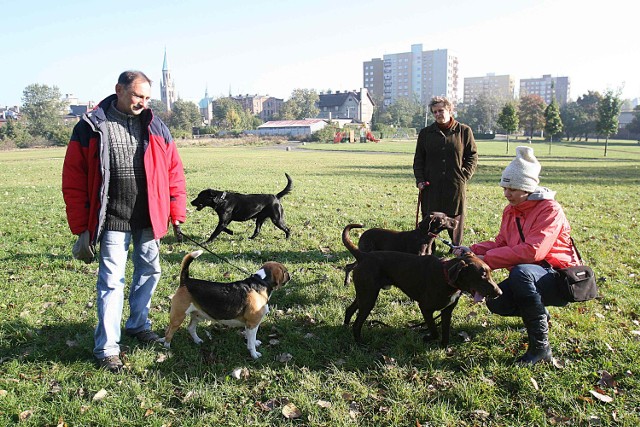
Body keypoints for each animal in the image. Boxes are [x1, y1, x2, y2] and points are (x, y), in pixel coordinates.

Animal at [160, 249, 290, 360]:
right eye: (285, 271)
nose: (290, 276)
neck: (260, 282)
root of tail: (185, 281)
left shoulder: (250, 324)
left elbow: (251, 338)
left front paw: (254, 342)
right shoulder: (253, 323)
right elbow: (251, 343)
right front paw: (254, 354)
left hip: (198, 315)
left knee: (191, 328)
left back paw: (197, 341)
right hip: (178, 316)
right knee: (168, 333)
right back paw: (167, 347)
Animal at [342, 224, 502, 348]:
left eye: (490, 272)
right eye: (482, 275)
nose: (500, 293)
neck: (446, 276)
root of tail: (363, 255)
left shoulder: (447, 311)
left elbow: (445, 333)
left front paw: (444, 349)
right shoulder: (426, 308)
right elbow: (435, 331)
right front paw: (427, 337)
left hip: (364, 294)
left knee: (349, 310)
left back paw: (344, 328)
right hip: (369, 297)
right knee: (357, 323)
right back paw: (360, 343)